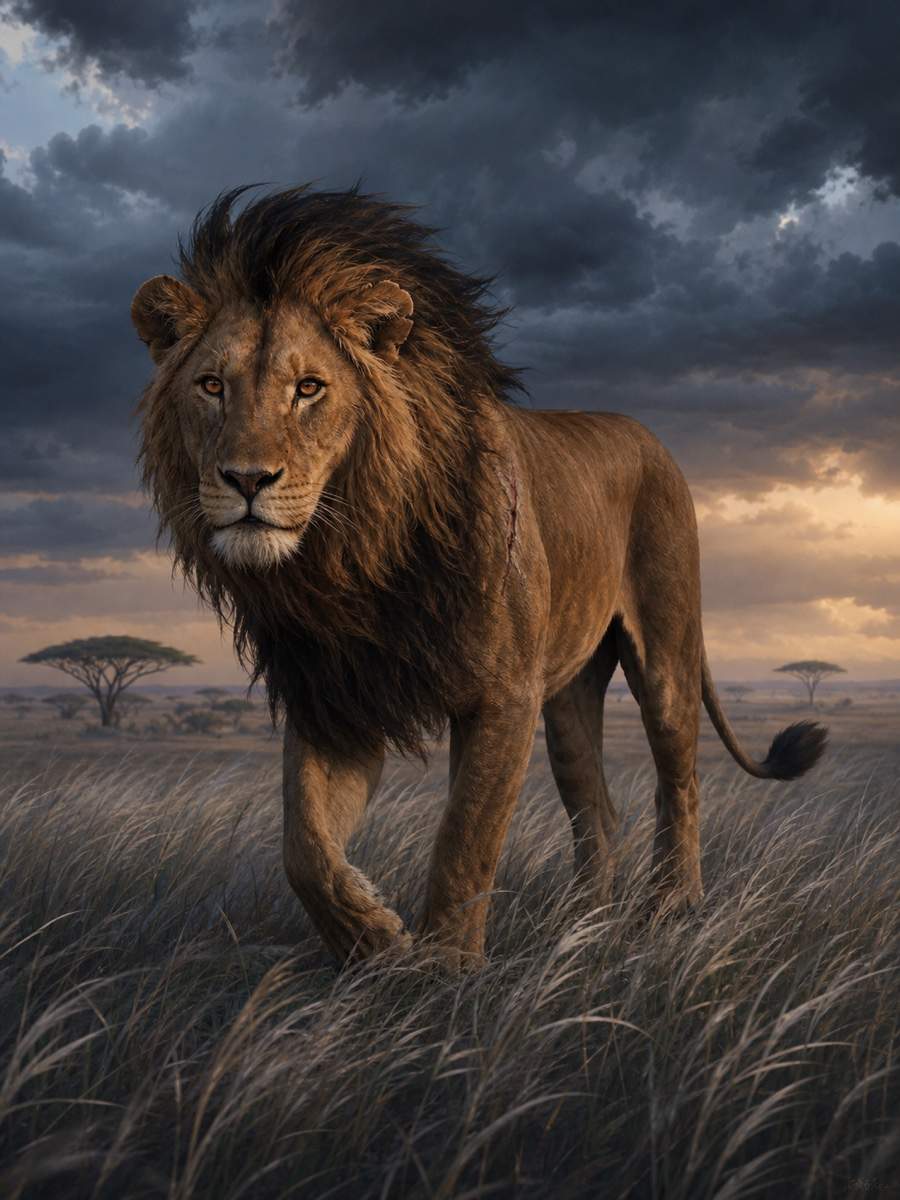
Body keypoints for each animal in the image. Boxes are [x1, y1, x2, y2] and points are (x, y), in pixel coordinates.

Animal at [132, 185, 826, 969]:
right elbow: (304, 847)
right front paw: (376, 938)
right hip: (569, 697)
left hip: (667, 653)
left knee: (680, 783)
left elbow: (465, 841)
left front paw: (445, 976)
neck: (353, 558)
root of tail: (649, 437)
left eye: (309, 388)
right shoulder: (337, 695)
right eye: (210, 386)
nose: (247, 480)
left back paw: (672, 908)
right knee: (597, 809)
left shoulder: (502, 696)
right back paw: (582, 928)